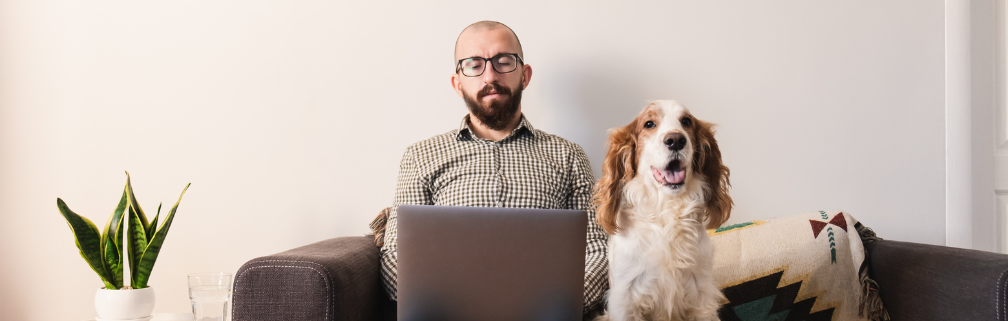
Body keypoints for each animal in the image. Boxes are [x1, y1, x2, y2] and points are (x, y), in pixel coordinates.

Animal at [588, 100, 733, 321]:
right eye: (649, 124)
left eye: (686, 121)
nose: (675, 140)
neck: (666, 212)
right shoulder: (625, 298)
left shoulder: (702, 295)